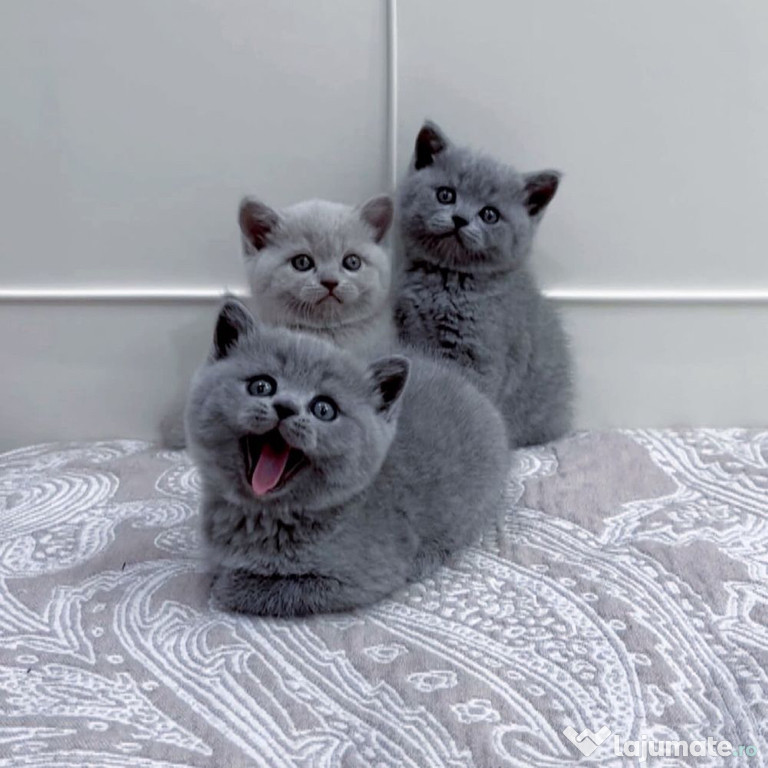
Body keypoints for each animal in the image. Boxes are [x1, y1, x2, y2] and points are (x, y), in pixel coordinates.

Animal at [185, 299, 510, 617]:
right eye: (262, 386)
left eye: (323, 409)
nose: (285, 407)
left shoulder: (356, 580)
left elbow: (251, 587)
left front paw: (225, 582)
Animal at [395, 121, 573, 448]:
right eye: (446, 195)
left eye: (489, 214)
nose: (460, 219)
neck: (446, 279)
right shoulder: (408, 329)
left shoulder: (477, 352)